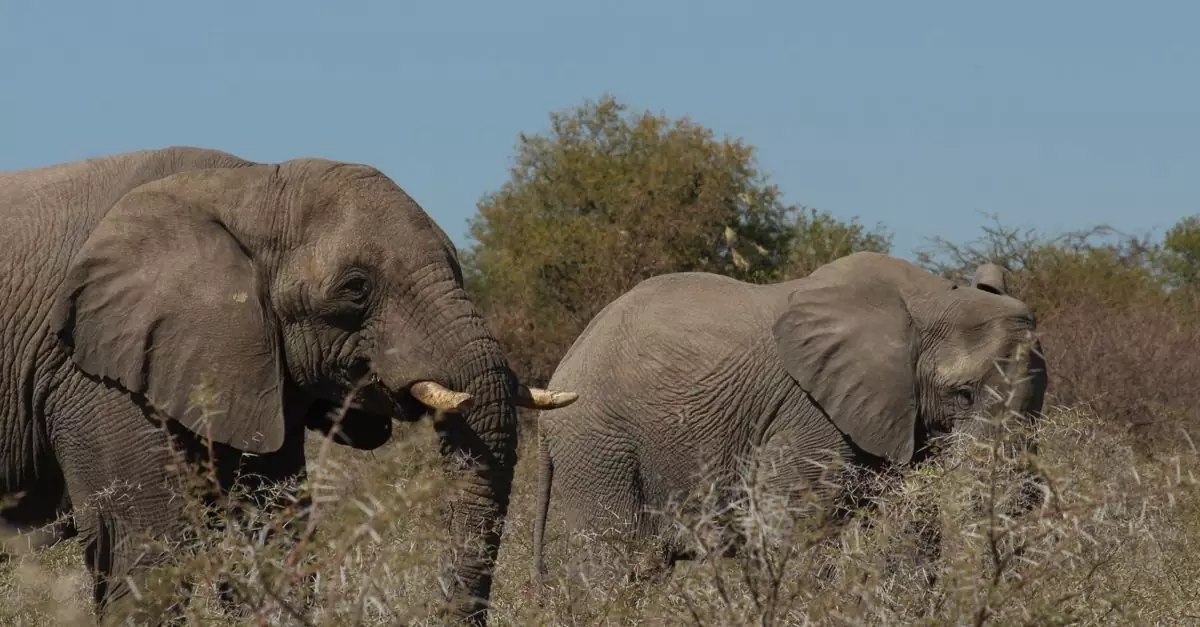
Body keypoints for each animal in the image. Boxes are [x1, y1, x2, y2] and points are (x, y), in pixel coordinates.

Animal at [531, 252, 1047, 581]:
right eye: (963, 396)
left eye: (1040, 406)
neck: (933, 299)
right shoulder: (809, 411)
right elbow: (794, 526)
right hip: (600, 446)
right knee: (616, 564)